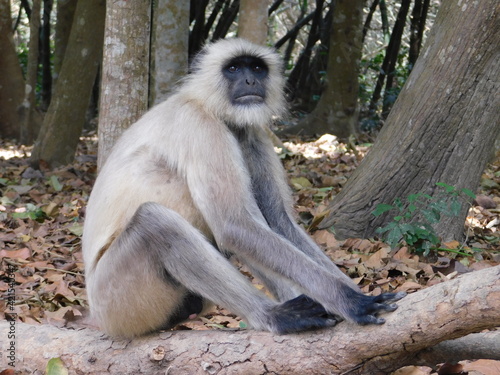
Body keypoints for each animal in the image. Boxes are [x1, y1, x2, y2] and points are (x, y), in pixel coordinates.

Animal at [81, 37, 402, 338]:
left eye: (257, 68)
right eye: (234, 68)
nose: (250, 81)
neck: (209, 106)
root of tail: (95, 314)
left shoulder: (251, 135)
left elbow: (277, 222)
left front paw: (351, 293)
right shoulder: (201, 127)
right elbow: (234, 225)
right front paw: (350, 300)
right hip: (118, 300)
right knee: (157, 223)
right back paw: (273, 316)